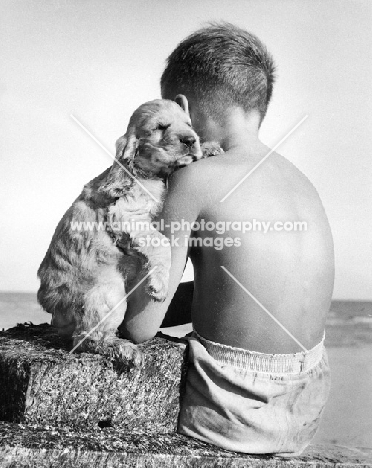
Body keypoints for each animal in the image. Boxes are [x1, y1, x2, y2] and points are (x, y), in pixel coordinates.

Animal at [36, 98, 205, 366]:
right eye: (160, 127)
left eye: (189, 124)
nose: (190, 140)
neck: (150, 173)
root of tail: (50, 305)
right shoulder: (126, 214)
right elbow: (161, 243)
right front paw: (159, 285)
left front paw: (211, 148)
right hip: (110, 291)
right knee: (85, 338)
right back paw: (123, 348)